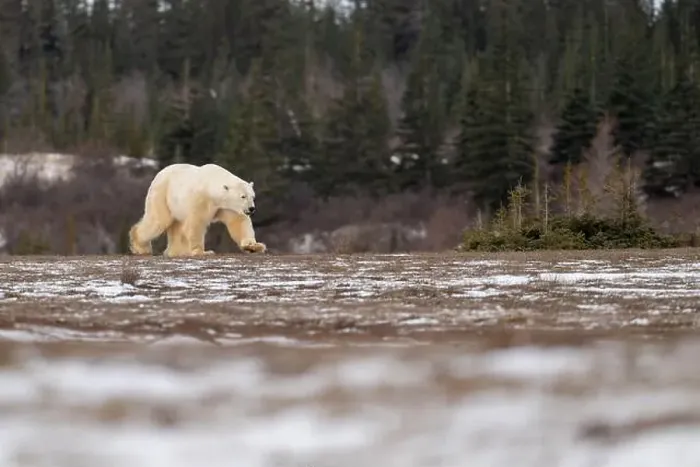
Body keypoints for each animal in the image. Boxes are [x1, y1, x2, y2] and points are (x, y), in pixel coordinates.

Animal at [129, 163, 267, 257]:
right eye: (242, 196)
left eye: (252, 196)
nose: (251, 208)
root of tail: (159, 174)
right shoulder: (202, 199)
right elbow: (196, 223)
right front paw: (202, 252)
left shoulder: (228, 207)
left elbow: (239, 223)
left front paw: (254, 246)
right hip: (162, 194)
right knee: (158, 221)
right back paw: (141, 247)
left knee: (176, 226)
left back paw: (177, 251)